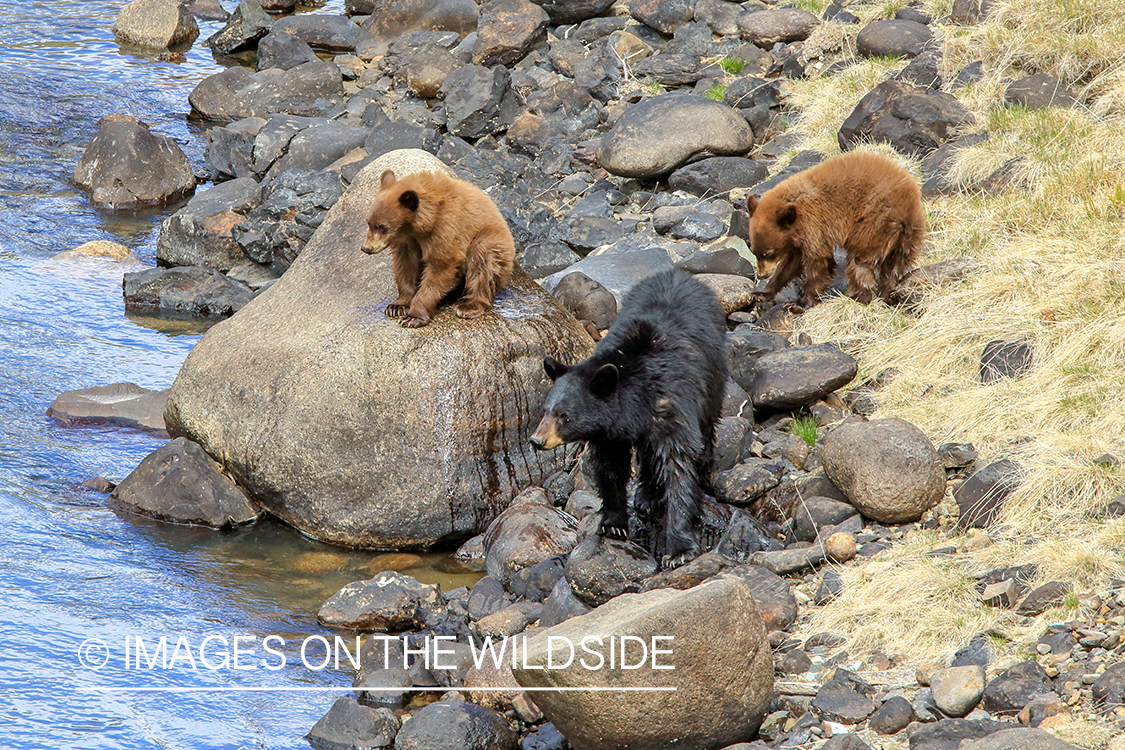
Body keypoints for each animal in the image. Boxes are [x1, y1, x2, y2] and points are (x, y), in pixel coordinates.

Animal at [528, 270, 724, 568]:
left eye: (565, 415)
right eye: (545, 409)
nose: (537, 440)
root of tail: (679, 274)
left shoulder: (671, 407)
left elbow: (678, 465)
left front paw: (679, 549)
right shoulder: (609, 432)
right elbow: (610, 467)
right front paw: (614, 523)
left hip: (714, 377)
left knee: (707, 425)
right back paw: (646, 495)